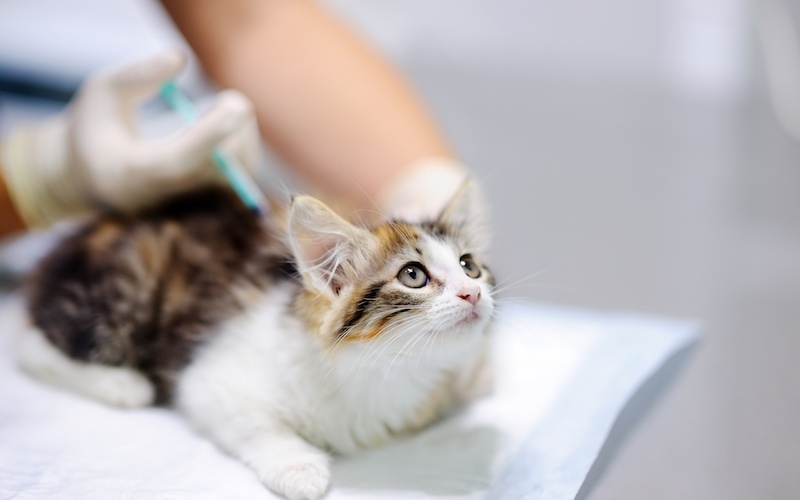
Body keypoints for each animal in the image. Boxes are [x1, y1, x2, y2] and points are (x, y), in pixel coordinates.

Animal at [15, 182, 494, 498]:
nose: (472, 293)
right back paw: (120, 384)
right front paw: (298, 466)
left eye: (469, 266)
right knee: (28, 342)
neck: (381, 369)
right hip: (122, 297)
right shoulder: (211, 376)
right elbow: (257, 422)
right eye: (413, 275)